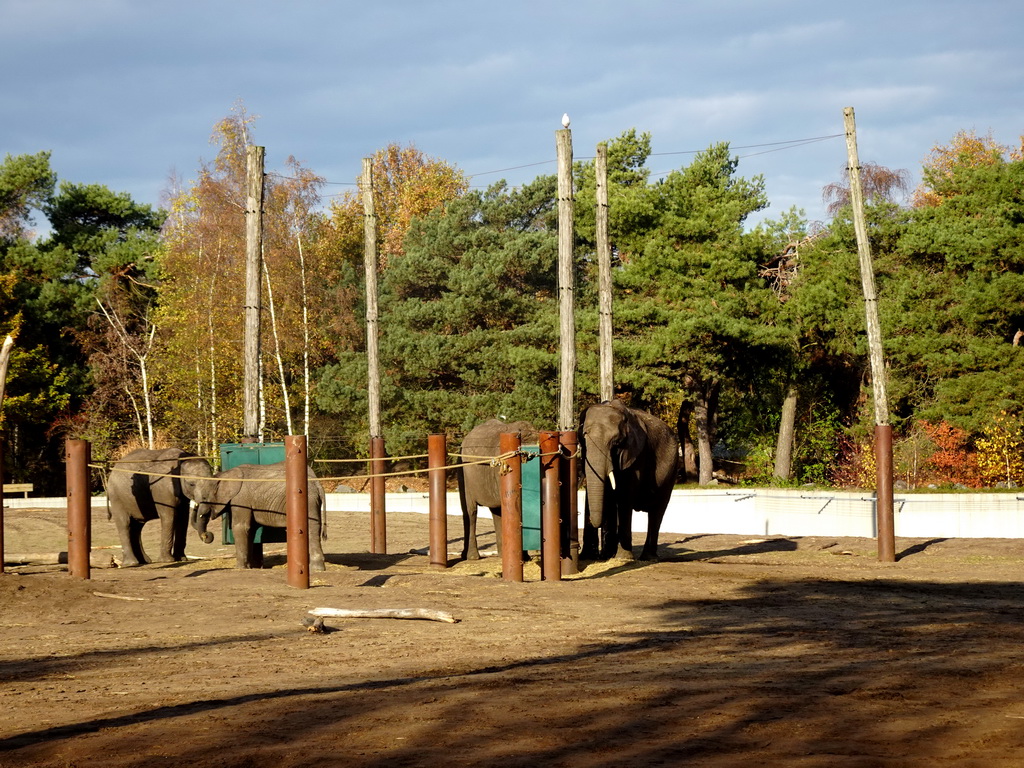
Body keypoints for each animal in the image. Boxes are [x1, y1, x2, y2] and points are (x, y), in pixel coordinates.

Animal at [188, 462, 323, 573]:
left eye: (204, 497)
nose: (207, 535)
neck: (223, 475)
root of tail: (317, 482)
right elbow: (250, 530)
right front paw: (249, 567)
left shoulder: (240, 499)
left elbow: (240, 527)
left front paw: (240, 568)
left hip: (308, 500)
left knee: (311, 529)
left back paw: (316, 569)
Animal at [456, 417, 536, 561]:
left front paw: (525, 557)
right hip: (463, 471)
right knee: (470, 511)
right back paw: (472, 557)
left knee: (496, 511)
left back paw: (501, 555)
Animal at [581, 399, 675, 561]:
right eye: (584, 438)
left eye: (616, 443)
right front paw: (589, 557)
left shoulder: (636, 456)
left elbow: (625, 496)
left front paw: (623, 558)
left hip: (671, 472)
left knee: (657, 511)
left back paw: (648, 558)